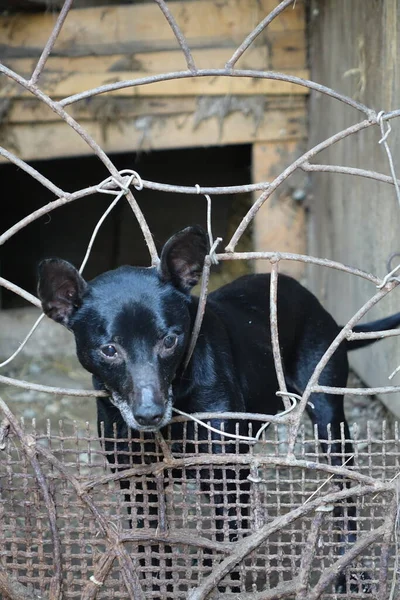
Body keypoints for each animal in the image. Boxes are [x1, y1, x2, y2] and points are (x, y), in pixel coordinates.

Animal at [37, 227, 400, 592]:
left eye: (169, 340)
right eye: (109, 350)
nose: (149, 413)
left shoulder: (225, 478)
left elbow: (225, 555)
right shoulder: (138, 484)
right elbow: (153, 556)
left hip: (330, 424)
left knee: (345, 499)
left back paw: (349, 571)